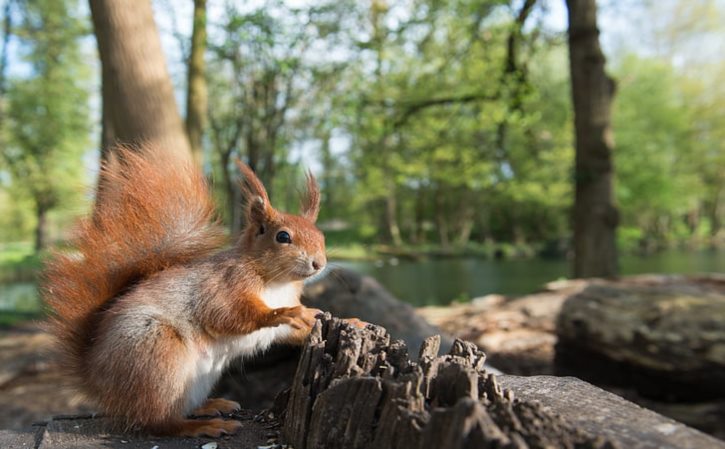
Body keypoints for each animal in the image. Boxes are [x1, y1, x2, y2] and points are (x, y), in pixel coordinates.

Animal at [41, 145, 330, 436]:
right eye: (283, 237)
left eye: (322, 237)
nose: (319, 263)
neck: (278, 283)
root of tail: (97, 380)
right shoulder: (223, 286)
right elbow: (229, 314)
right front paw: (288, 312)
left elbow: (290, 333)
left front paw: (326, 320)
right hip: (158, 354)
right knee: (158, 421)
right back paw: (202, 426)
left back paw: (210, 406)